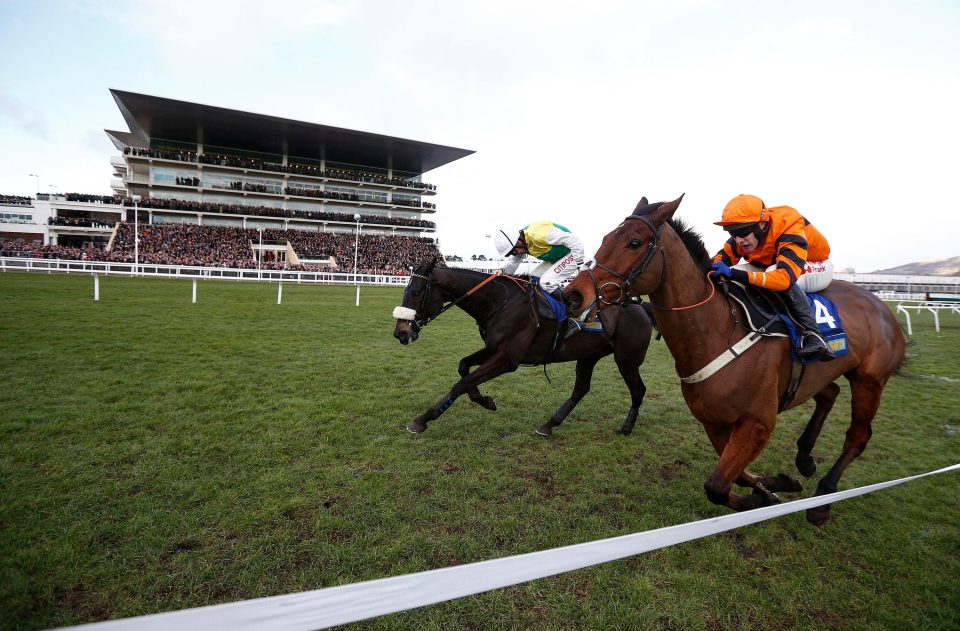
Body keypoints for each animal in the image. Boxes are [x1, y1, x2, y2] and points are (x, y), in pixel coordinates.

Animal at [390, 260, 652, 436]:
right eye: (405, 289)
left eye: (415, 292)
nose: (400, 333)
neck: (500, 301)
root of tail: (640, 307)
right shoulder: (493, 349)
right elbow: (464, 368)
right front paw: (484, 400)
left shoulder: (508, 359)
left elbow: (462, 383)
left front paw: (423, 419)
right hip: (588, 356)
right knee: (581, 389)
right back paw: (549, 425)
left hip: (627, 359)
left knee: (638, 390)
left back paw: (626, 428)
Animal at [568, 199, 904, 528]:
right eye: (605, 239)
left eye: (635, 243)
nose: (572, 294)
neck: (719, 331)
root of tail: (882, 308)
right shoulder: (714, 422)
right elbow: (738, 477)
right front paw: (774, 487)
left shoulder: (757, 423)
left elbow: (716, 486)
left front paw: (761, 498)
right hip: (816, 375)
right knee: (830, 393)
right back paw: (805, 458)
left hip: (869, 380)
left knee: (857, 437)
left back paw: (823, 499)